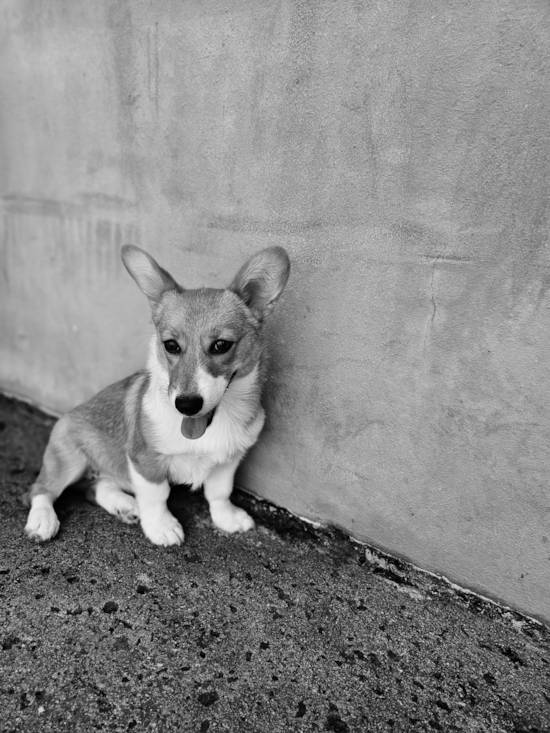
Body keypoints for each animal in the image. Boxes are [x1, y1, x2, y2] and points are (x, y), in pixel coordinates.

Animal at [24, 244, 294, 544]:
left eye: (222, 345)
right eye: (171, 345)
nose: (186, 405)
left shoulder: (227, 461)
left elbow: (219, 493)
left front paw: (227, 519)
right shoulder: (144, 460)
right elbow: (157, 495)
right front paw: (161, 527)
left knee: (96, 488)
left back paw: (125, 505)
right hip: (69, 460)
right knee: (40, 489)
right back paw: (43, 520)